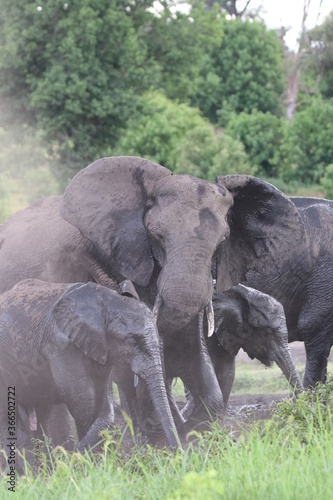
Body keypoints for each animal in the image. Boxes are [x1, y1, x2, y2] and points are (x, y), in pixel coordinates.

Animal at [0, 278, 179, 468]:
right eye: (132, 342)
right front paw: (84, 466)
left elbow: (103, 404)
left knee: (42, 413)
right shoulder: (63, 345)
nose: (177, 454)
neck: (109, 303)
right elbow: (85, 403)